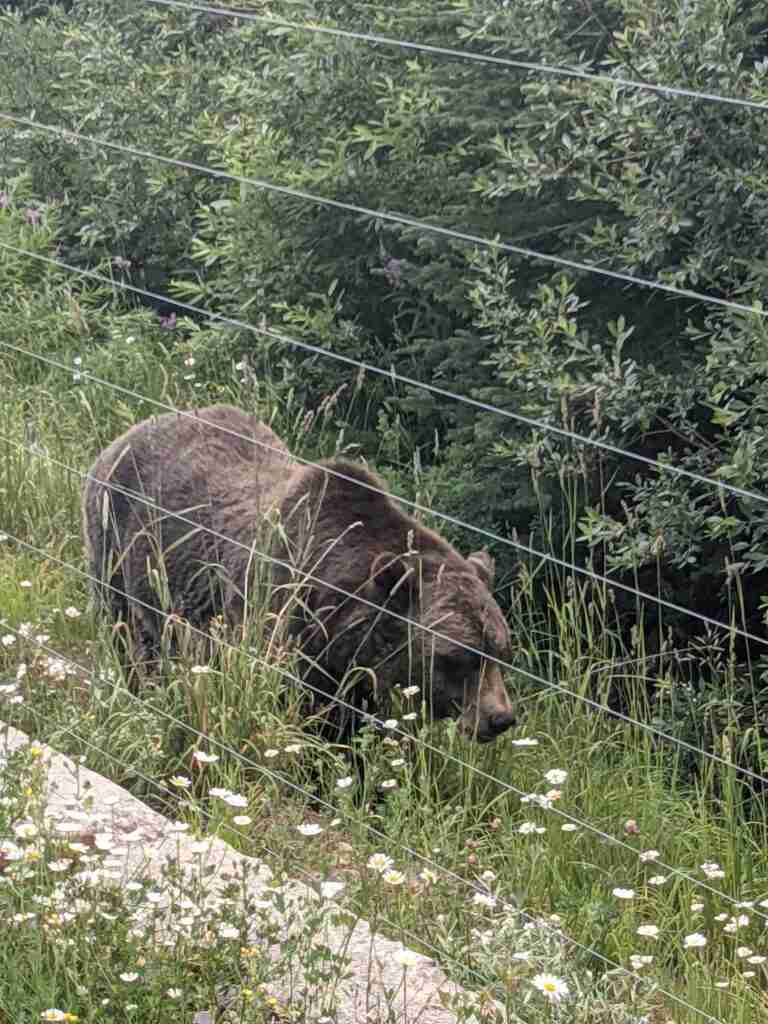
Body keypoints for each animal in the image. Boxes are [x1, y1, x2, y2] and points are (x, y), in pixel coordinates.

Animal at [81, 404, 515, 743]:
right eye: (458, 656)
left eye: (501, 651)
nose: (500, 718)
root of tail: (130, 430)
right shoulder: (282, 622)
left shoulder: (351, 675)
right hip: (115, 547)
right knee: (128, 634)